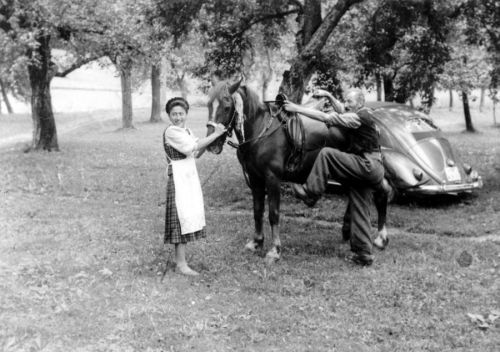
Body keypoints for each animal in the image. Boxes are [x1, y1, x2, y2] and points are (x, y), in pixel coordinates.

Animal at [205, 80, 388, 262]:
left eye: (227, 107)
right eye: (209, 105)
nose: (211, 144)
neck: (262, 132)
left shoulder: (272, 179)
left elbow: (273, 213)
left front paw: (275, 250)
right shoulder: (256, 179)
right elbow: (257, 211)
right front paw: (256, 242)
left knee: (383, 192)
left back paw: (381, 237)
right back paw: (348, 230)